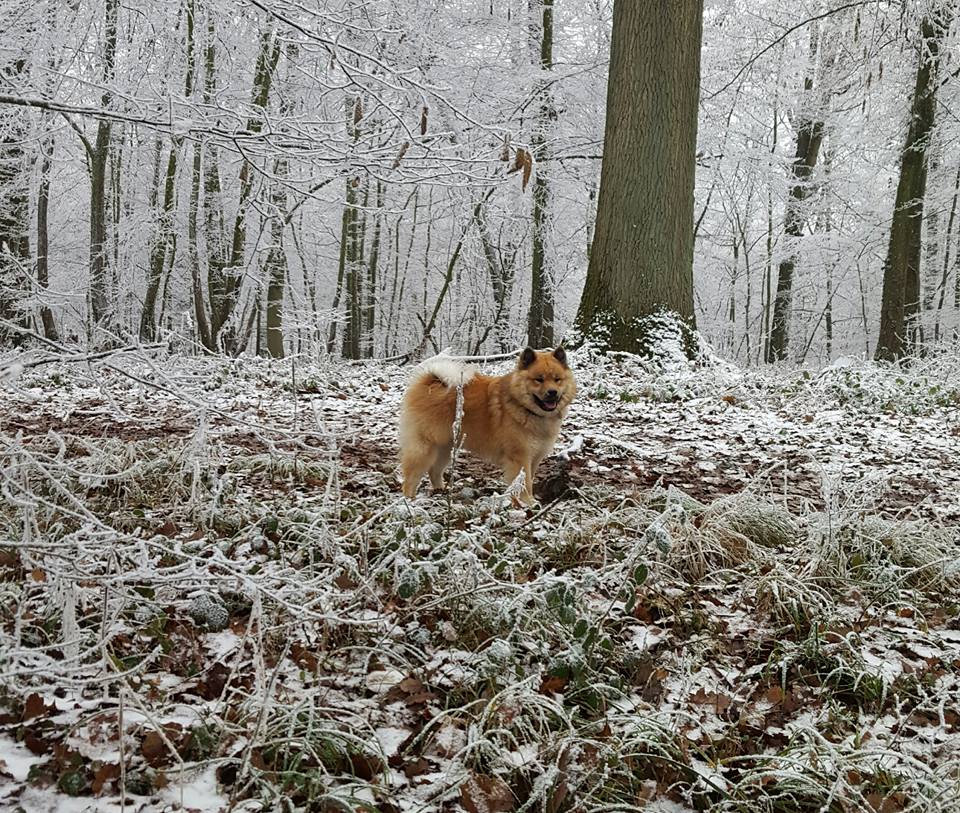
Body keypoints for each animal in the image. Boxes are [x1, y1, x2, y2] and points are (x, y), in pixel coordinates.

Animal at [400, 346, 576, 504]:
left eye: (557, 379)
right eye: (539, 380)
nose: (552, 392)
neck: (526, 409)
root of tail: (431, 382)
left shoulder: (534, 458)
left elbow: (529, 481)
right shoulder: (520, 457)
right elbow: (524, 484)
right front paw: (527, 503)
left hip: (446, 446)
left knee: (434, 471)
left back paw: (441, 493)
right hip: (425, 447)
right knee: (411, 476)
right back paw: (409, 501)